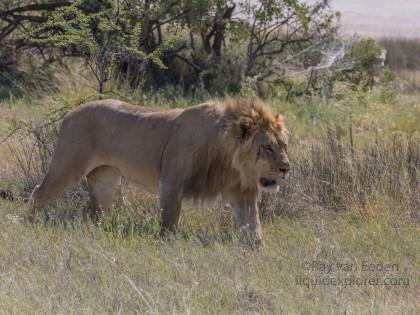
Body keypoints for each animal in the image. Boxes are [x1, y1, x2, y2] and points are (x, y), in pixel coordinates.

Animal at [29, 97, 290, 243]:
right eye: (267, 147)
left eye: (284, 145)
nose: (286, 168)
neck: (229, 161)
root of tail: (69, 113)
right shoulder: (172, 182)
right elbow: (168, 221)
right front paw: (166, 244)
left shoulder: (242, 192)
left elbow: (253, 227)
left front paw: (256, 254)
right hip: (68, 167)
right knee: (38, 193)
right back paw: (28, 222)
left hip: (105, 179)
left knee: (94, 211)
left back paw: (95, 230)